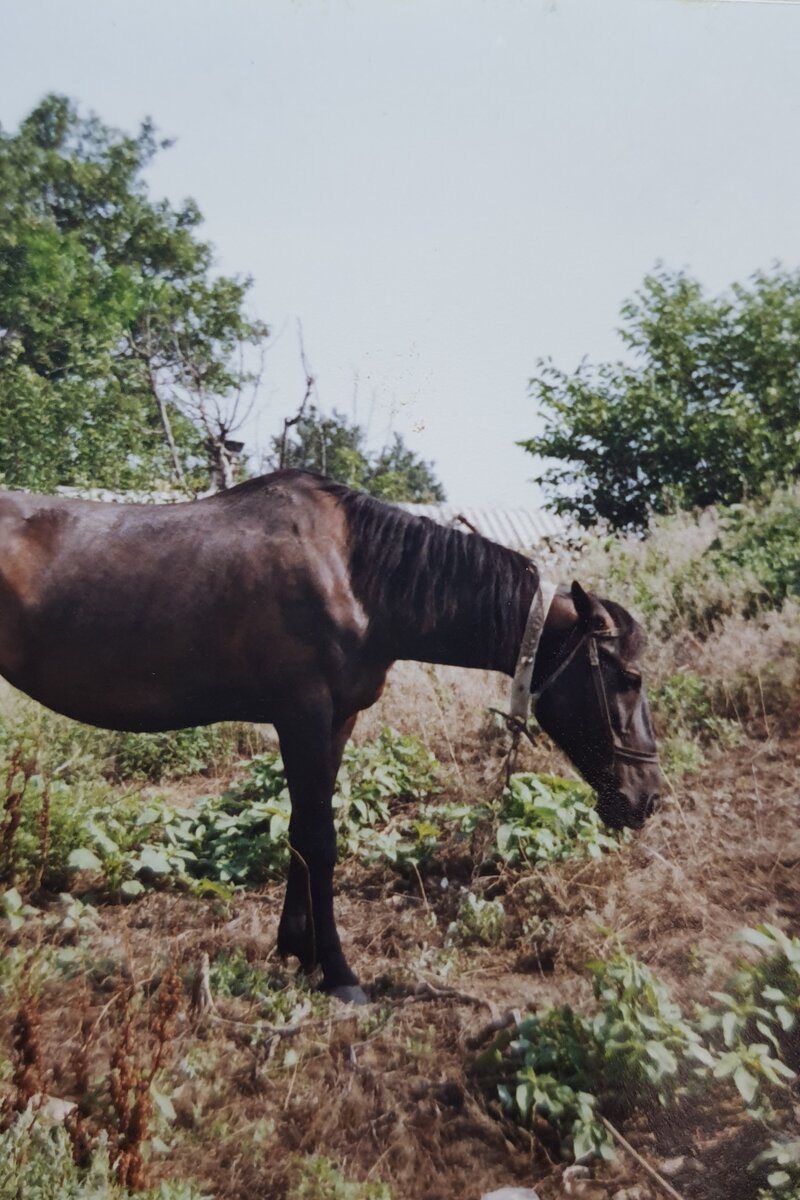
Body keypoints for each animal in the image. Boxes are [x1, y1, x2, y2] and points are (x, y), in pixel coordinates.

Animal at [0, 468, 662, 1003]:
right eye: (628, 678)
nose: (648, 798)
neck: (356, 575)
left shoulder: (335, 721)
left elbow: (300, 830)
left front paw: (299, 948)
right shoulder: (302, 717)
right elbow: (320, 839)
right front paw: (339, 972)